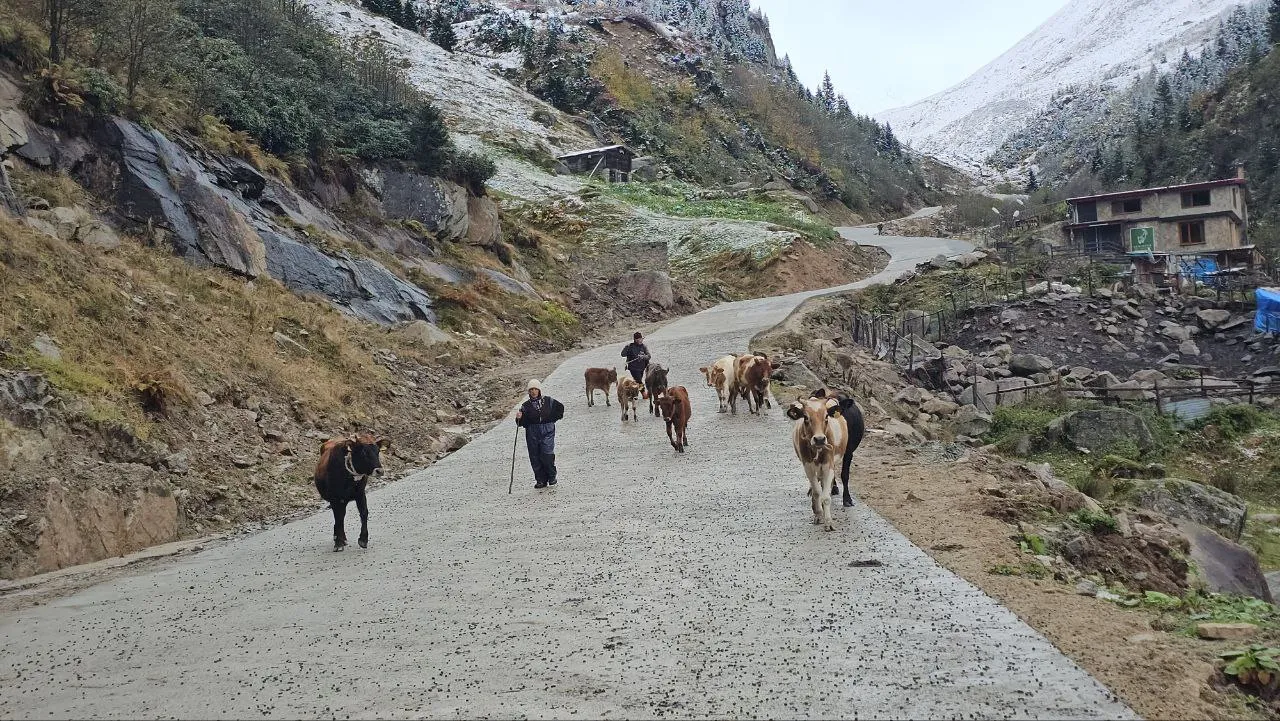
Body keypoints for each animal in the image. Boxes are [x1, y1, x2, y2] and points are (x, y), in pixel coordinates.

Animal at [778, 394, 849, 530]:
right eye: (806, 417)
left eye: (826, 416)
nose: (819, 439)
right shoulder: (808, 466)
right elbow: (817, 492)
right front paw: (818, 514)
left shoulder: (828, 465)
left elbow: (825, 496)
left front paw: (828, 522)